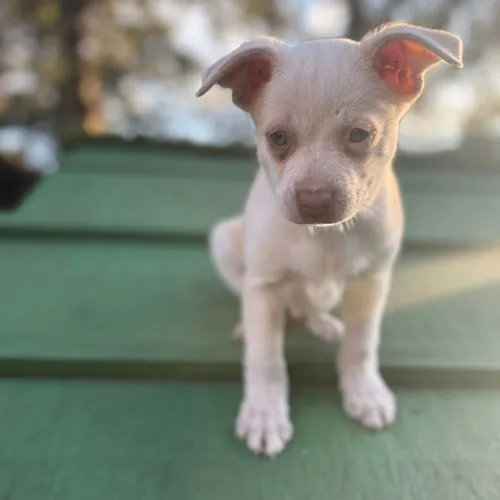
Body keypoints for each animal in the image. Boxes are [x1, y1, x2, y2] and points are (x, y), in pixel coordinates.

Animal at [196, 22, 463, 457]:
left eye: (359, 135)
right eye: (277, 138)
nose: (313, 199)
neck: (325, 237)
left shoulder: (371, 282)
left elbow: (361, 346)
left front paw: (365, 392)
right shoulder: (265, 286)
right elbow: (266, 358)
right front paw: (265, 413)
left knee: (312, 309)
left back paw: (323, 323)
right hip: (225, 242)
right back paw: (248, 325)